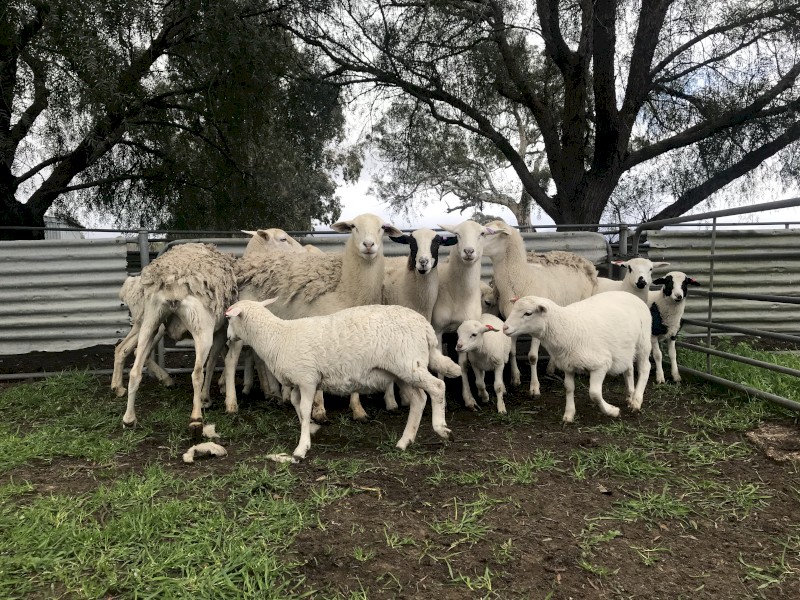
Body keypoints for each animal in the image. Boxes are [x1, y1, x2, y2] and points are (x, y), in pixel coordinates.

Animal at [122, 243, 238, 439]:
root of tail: (172, 284)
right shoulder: (220, 330)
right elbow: (212, 362)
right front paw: (206, 398)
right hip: (201, 328)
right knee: (197, 373)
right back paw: (196, 420)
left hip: (151, 321)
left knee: (135, 369)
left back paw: (129, 418)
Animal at [224, 213, 403, 421]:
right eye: (353, 227)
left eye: (382, 228)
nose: (368, 245)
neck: (345, 289)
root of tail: (247, 264)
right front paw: (318, 410)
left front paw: (358, 409)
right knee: (230, 360)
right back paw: (231, 403)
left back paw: (272, 394)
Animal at [224, 299, 460, 459]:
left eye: (229, 318)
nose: (227, 338)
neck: (278, 337)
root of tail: (425, 326)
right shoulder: (298, 382)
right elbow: (297, 406)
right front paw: (311, 429)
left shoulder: (308, 379)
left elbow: (305, 408)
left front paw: (301, 448)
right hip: (401, 371)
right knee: (419, 399)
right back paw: (405, 441)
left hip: (409, 364)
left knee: (437, 387)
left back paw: (441, 429)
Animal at [483, 220, 599, 397]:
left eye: (487, 232)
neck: (522, 279)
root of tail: (583, 261)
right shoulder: (511, 322)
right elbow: (512, 351)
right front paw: (515, 378)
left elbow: (532, 357)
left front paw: (534, 387)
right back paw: (551, 368)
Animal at [502, 292, 652, 423]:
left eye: (528, 313)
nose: (504, 328)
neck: (566, 328)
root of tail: (631, 295)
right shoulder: (567, 365)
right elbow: (569, 388)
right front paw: (569, 414)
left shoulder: (600, 364)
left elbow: (594, 393)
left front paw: (612, 411)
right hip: (625, 348)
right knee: (629, 369)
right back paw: (630, 395)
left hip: (643, 341)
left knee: (645, 368)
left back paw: (636, 401)